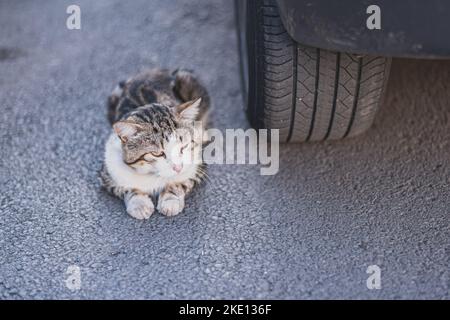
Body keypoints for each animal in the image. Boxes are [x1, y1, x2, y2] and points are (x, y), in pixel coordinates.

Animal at [101, 68, 210, 219]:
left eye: (184, 146)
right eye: (157, 153)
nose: (178, 167)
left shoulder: (197, 166)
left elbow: (179, 182)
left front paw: (170, 200)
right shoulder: (108, 172)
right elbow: (127, 187)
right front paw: (139, 203)